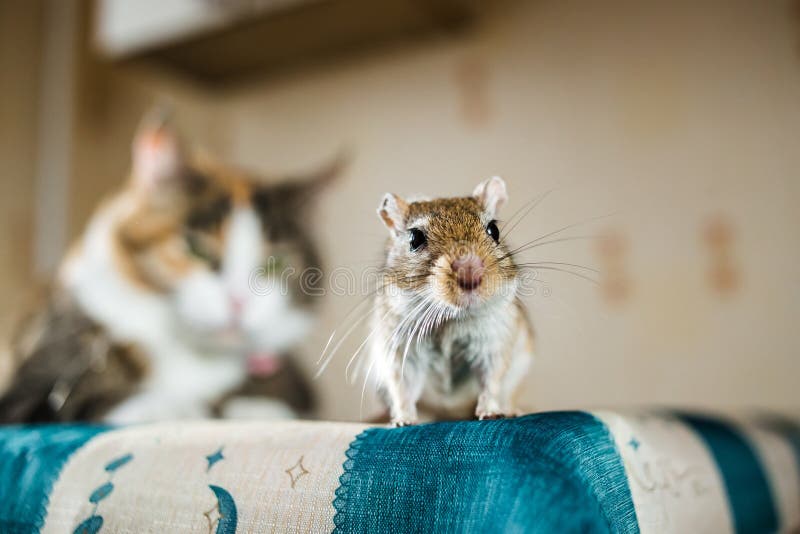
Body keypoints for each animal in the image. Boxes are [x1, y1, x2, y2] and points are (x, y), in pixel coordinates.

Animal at [0, 111, 340, 426]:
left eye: (275, 262)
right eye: (196, 248)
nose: (238, 302)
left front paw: (257, 408)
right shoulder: (35, 388)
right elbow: (89, 397)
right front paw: (180, 408)